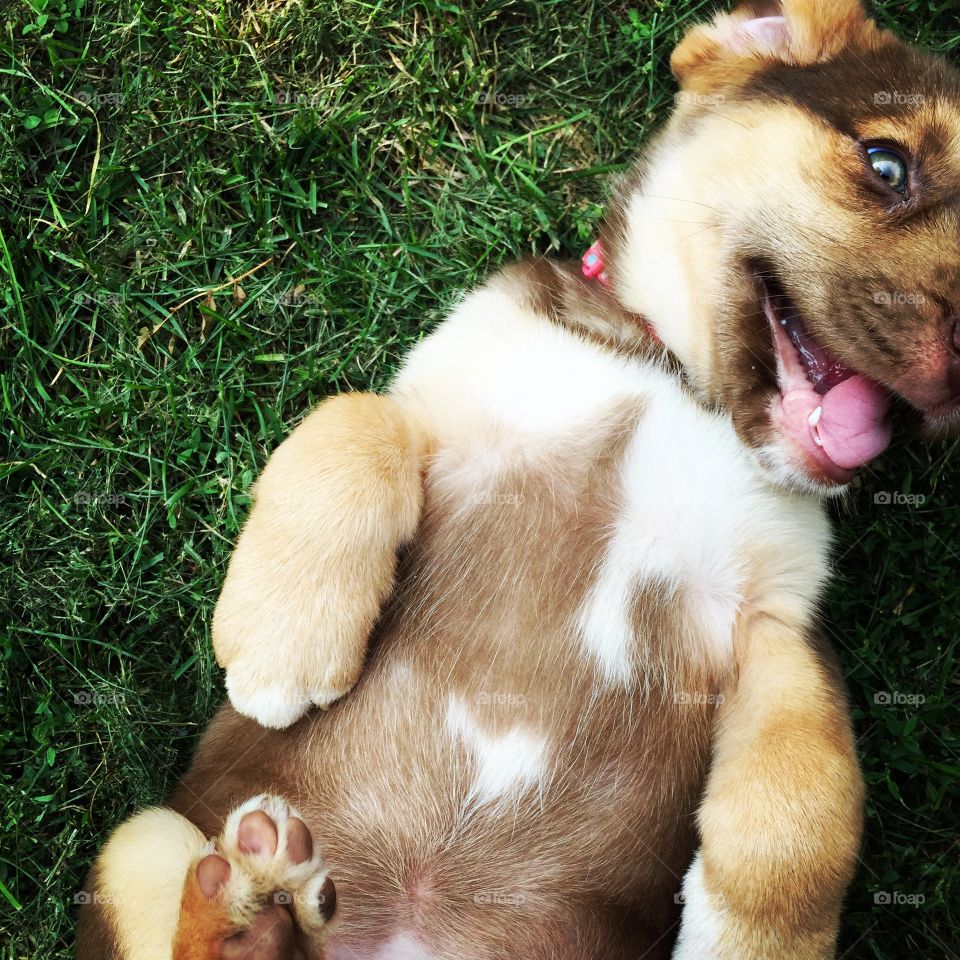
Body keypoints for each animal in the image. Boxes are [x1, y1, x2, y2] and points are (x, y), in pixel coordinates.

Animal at [77, 0, 960, 956]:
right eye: (886, 163)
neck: (673, 378)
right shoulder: (437, 407)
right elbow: (353, 415)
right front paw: (284, 642)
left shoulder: (780, 624)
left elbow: (803, 820)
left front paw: (756, 943)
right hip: (142, 836)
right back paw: (244, 911)